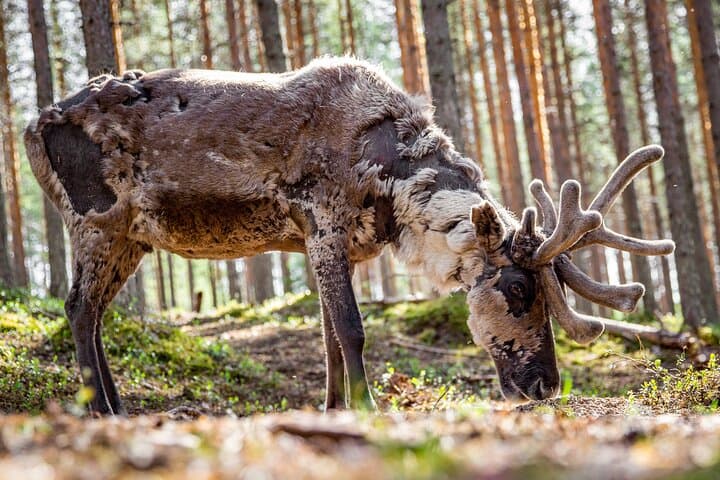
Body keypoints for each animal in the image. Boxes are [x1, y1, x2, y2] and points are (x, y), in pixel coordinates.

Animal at [24, 57, 674, 415]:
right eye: (517, 289)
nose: (545, 385)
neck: (390, 182)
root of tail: (30, 125)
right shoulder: (324, 226)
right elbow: (353, 330)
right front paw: (369, 405)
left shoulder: (330, 245)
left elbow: (329, 336)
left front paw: (336, 406)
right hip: (95, 221)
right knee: (77, 308)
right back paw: (101, 411)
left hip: (131, 238)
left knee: (95, 314)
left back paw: (117, 403)